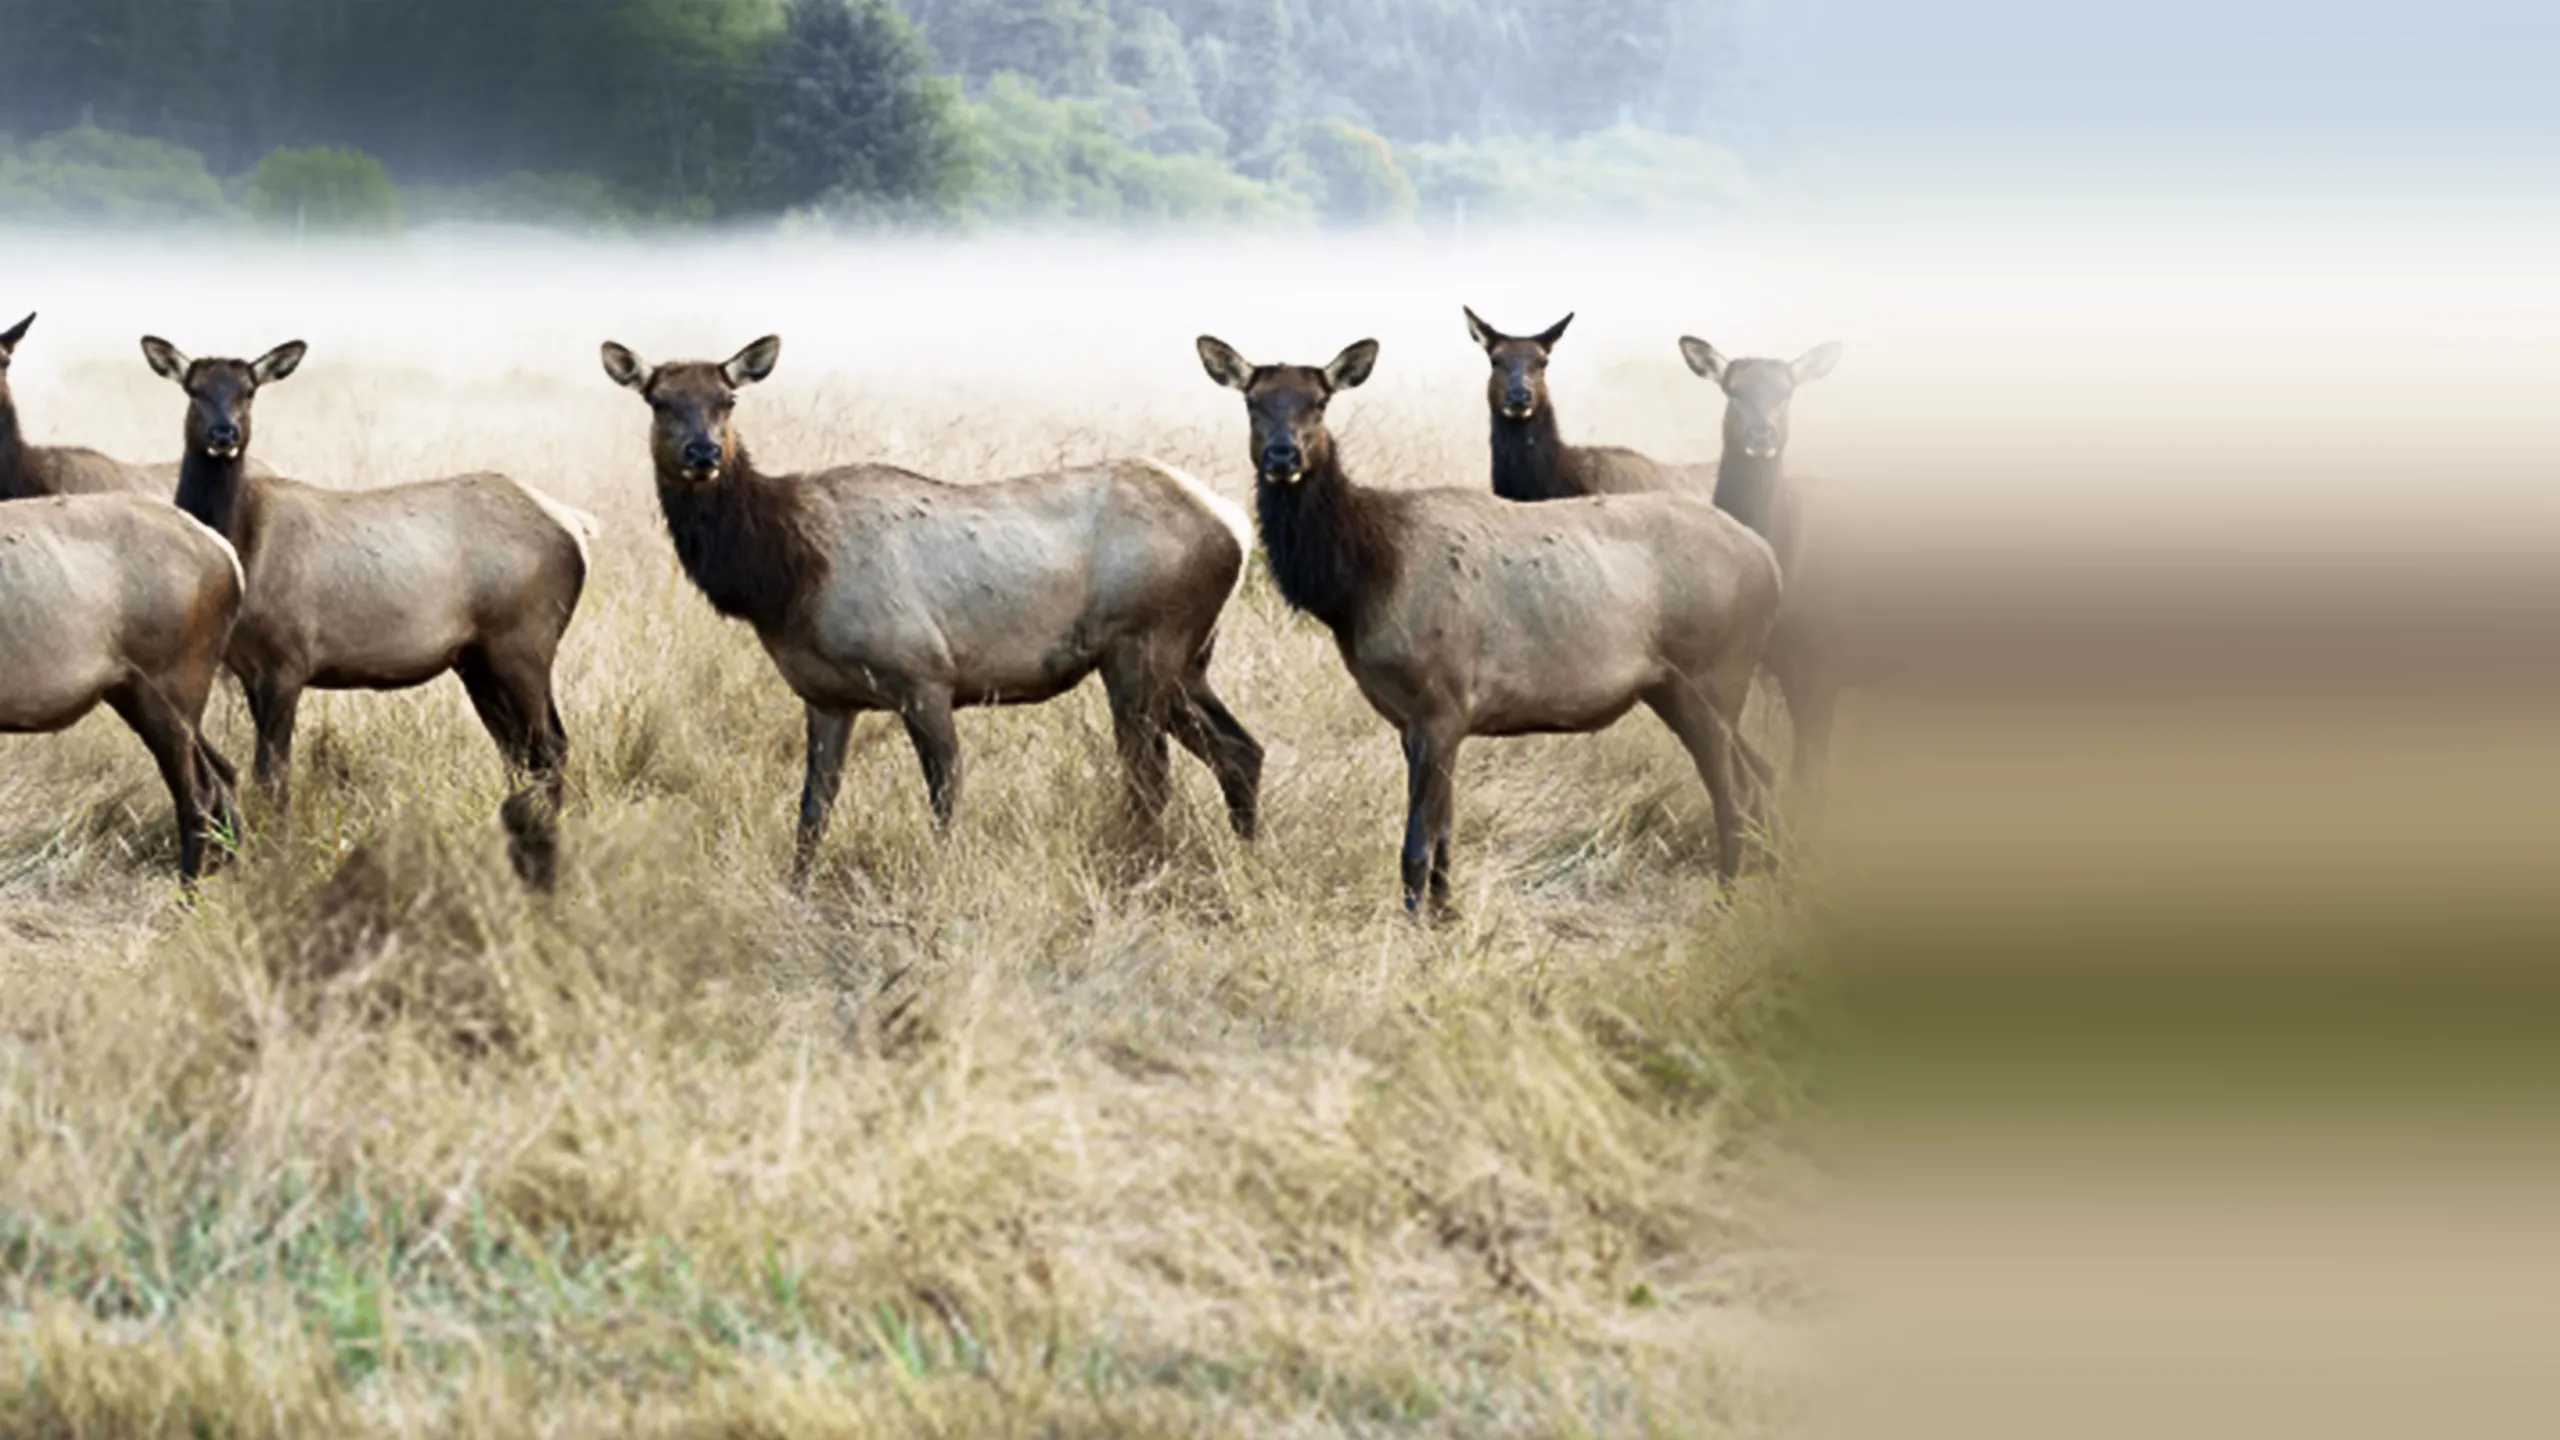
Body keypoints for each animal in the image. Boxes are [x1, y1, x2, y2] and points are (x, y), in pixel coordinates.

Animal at [140, 336, 595, 890]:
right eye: (194, 389)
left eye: (248, 390)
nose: (223, 434)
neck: (242, 547)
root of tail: (576, 528)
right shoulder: (248, 668)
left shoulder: (287, 660)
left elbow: (273, 772)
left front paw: (278, 860)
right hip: (480, 661)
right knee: (521, 753)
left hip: (525, 642)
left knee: (551, 747)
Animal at [599, 335, 1263, 888]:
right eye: (659, 401)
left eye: (727, 398)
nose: (703, 452)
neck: (783, 578)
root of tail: (1235, 525)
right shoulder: (825, 696)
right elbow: (813, 809)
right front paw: (796, 893)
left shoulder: (923, 673)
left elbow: (945, 794)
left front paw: (941, 878)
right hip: (1187, 659)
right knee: (1239, 751)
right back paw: (1245, 852)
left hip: (1144, 644)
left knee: (1150, 777)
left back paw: (1142, 866)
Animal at [1197, 334, 1782, 917]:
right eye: (1253, 401)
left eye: (1319, 402)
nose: (1282, 455)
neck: (1360, 584)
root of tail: (1768, 559)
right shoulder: (1423, 720)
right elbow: (1445, 833)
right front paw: (1445, 913)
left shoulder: (1440, 704)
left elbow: (1416, 845)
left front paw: (1415, 923)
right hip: (1677, 689)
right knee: (1760, 781)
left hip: (1712, 677)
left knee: (1735, 795)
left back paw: (1727, 898)